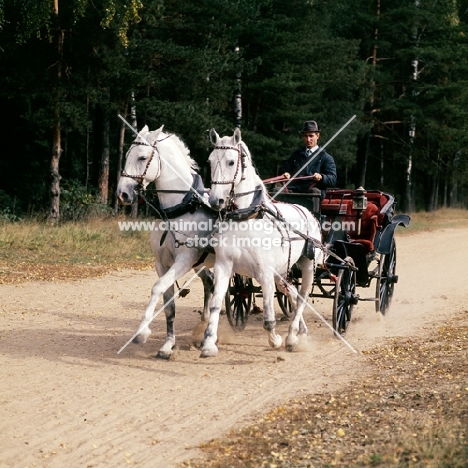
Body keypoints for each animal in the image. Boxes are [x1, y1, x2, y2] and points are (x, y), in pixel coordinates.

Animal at [117, 124, 216, 358]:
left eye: (142, 157)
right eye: (127, 155)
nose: (122, 193)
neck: (178, 208)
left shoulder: (184, 261)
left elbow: (157, 288)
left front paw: (142, 332)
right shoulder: (162, 263)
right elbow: (168, 303)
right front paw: (167, 344)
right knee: (210, 283)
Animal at [199, 126, 324, 356]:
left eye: (231, 162)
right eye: (210, 162)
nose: (215, 200)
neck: (246, 218)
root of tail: (306, 210)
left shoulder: (265, 272)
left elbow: (268, 314)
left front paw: (275, 340)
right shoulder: (224, 266)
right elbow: (215, 304)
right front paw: (209, 342)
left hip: (308, 264)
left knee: (302, 296)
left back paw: (292, 336)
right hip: (283, 271)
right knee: (292, 292)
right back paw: (301, 330)